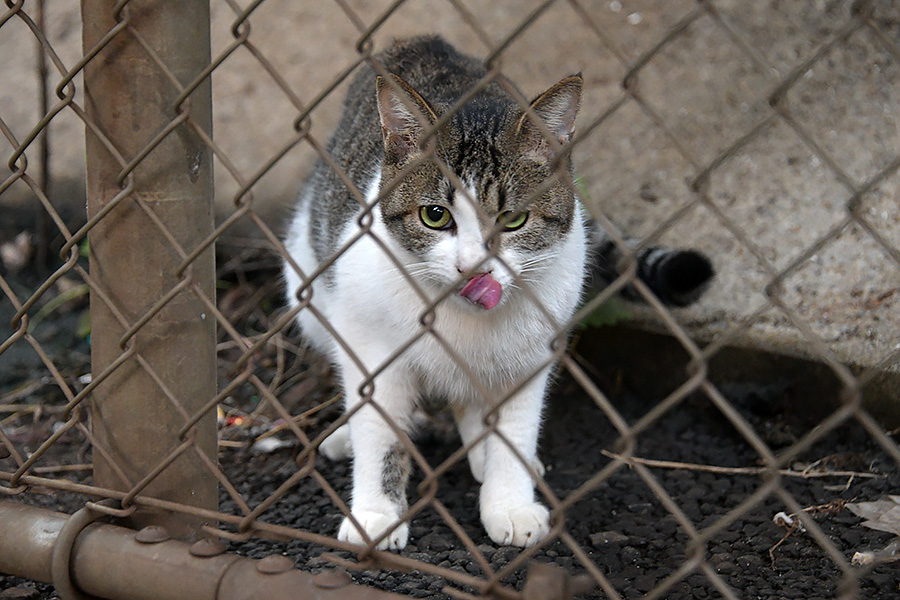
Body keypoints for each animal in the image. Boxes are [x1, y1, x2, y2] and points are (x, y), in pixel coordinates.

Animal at [284, 35, 712, 552]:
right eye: (434, 216)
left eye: (514, 220)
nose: (473, 268)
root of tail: (423, 39)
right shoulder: (370, 346)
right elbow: (380, 431)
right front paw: (376, 512)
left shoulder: (535, 352)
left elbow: (515, 429)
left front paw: (508, 500)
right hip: (307, 286)